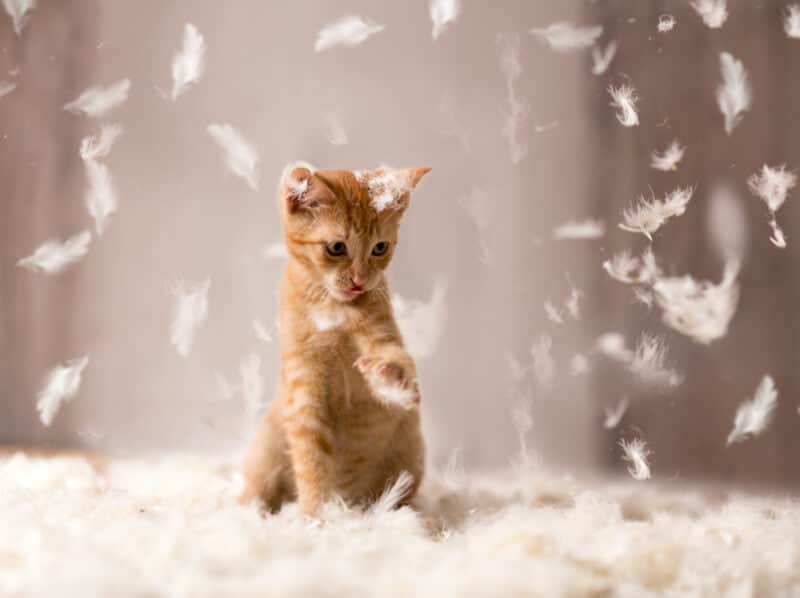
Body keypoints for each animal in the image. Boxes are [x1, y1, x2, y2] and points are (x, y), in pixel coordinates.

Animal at [241, 162, 432, 516]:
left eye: (380, 248)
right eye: (336, 248)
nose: (359, 281)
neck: (333, 309)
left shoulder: (382, 333)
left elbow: (396, 357)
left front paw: (391, 376)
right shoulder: (303, 384)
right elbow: (310, 459)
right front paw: (316, 515)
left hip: (410, 460)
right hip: (267, 445)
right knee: (256, 488)